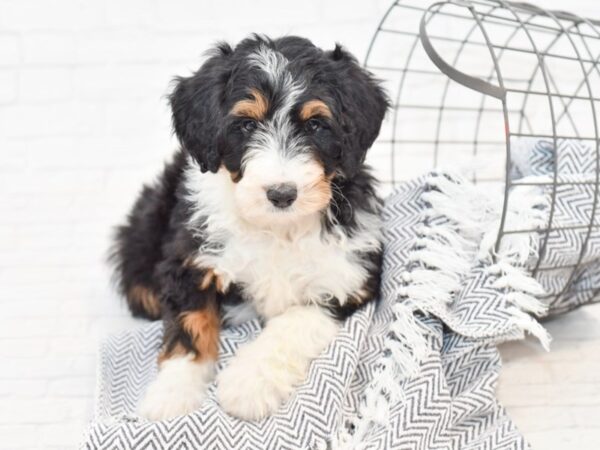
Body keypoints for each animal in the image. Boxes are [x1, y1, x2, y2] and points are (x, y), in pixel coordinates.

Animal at [110, 35, 386, 422]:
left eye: (315, 125)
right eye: (246, 125)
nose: (282, 194)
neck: (278, 228)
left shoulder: (349, 276)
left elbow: (295, 322)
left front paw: (249, 383)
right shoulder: (190, 256)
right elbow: (190, 324)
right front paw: (173, 393)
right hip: (144, 231)